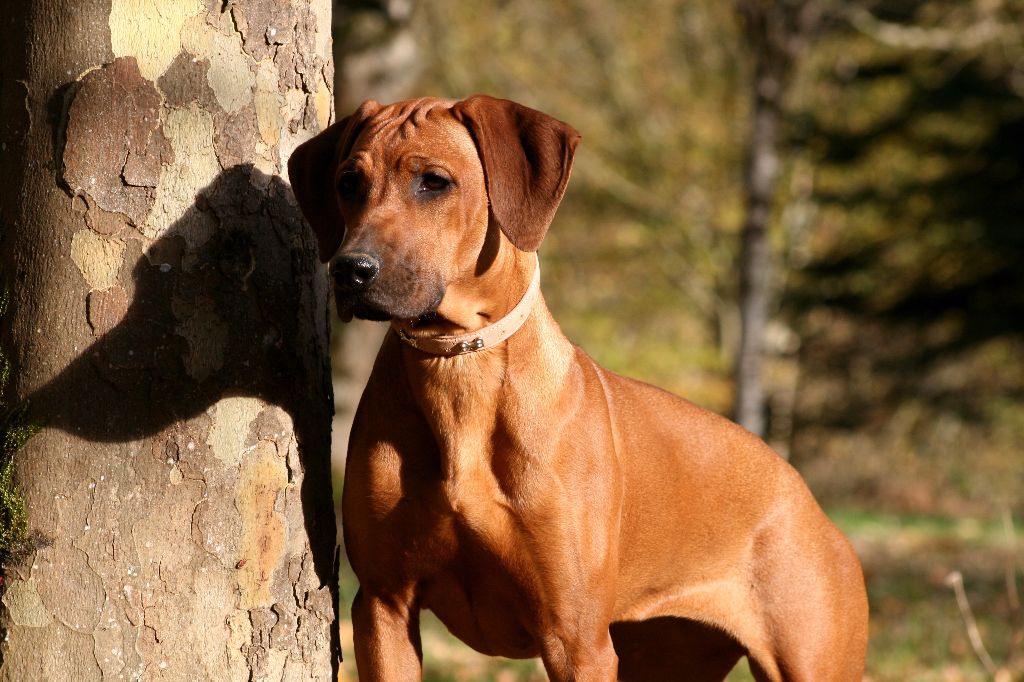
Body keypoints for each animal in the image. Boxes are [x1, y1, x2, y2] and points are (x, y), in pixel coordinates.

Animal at [288, 96, 864, 679]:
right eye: (348, 183)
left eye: (434, 181)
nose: (350, 271)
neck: (459, 370)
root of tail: (809, 502)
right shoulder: (384, 605)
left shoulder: (577, 637)